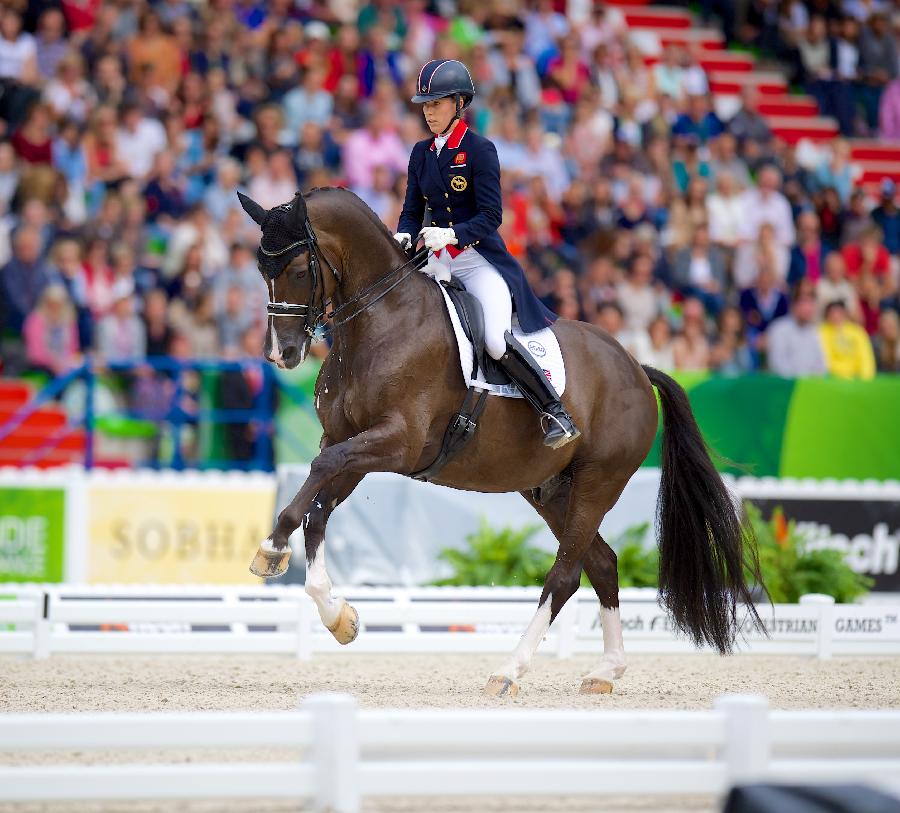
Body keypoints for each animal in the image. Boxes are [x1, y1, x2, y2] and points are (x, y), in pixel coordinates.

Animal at [239, 187, 761, 697]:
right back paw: (605, 671)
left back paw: (509, 670)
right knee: (602, 563)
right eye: (261, 271)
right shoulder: (351, 441)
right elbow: (319, 507)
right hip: (551, 490)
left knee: (565, 574)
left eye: (298, 269)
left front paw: (271, 549)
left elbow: (320, 472)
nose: (282, 354)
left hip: (599, 481)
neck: (380, 321)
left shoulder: (396, 441)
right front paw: (338, 617)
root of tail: (636, 367)